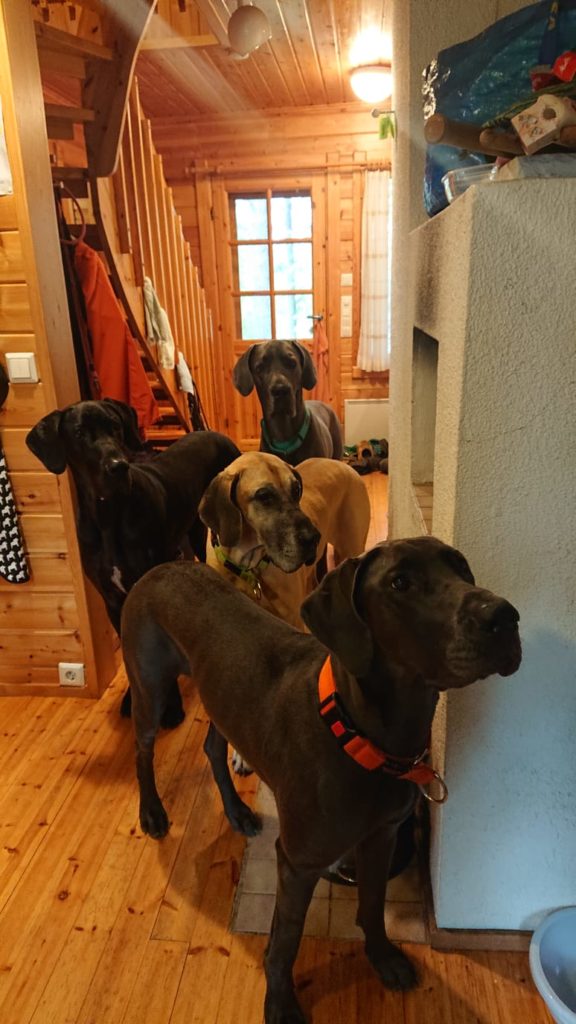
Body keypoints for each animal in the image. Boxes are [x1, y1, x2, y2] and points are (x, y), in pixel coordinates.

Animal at [26, 398, 240, 718]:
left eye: (114, 426)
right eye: (79, 433)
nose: (117, 466)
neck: (109, 516)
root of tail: (213, 432)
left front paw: (171, 705)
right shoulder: (113, 600)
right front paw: (133, 697)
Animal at [121, 536, 522, 1023]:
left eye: (461, 567)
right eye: (400, 583)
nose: (502, 616)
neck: (363, 735)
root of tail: (162, 567)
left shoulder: (383, 835)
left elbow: (372, 903)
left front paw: (382, 957)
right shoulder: (299, 862)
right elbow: (285, 942)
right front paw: (280, 1002)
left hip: (220, 699)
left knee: (214, 747)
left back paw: (237, 811)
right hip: (150, 688)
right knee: (142, 749)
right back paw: (153, 813)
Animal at [200, 452, 371, 629]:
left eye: (296, 490)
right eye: (264, 496)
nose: (313, 538)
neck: (249, 567)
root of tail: (344, 464)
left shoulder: (294, 621)